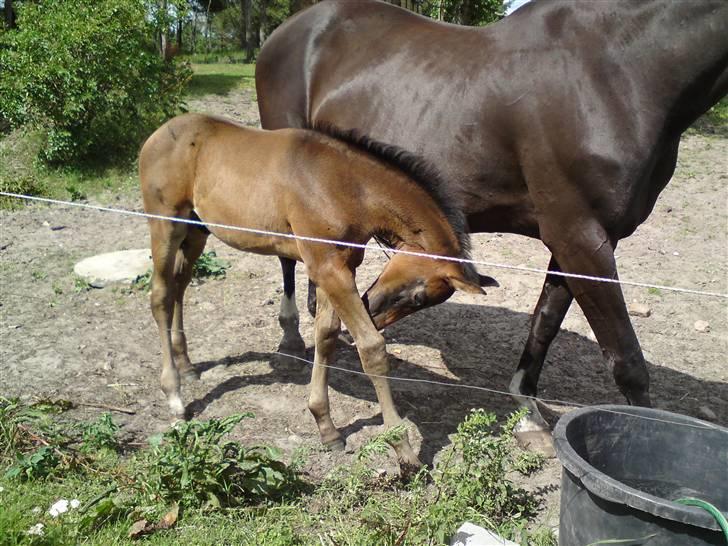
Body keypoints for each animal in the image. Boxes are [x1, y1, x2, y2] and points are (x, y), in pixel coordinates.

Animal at [139, 112, 492, 466]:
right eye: (419, 296)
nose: (372, 308)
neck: (349, 188)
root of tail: (157, 135)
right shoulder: (328, 268)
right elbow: (371, 348)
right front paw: (403, 450)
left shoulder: (338, 267)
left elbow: (326, 335)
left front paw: (326, 426)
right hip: (166, 225)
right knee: (160, 296)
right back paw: (174, 396)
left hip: (197, 230)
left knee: (180, 285)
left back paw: (186, 365)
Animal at [256, 0, 728, 450]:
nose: (373, 311)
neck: (618, 68)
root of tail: (289, 30)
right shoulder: (582, 238)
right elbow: (626, 360)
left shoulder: (576, 241)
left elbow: (545, 323)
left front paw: (528, 414)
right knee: (285, 256)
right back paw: (292, 335)